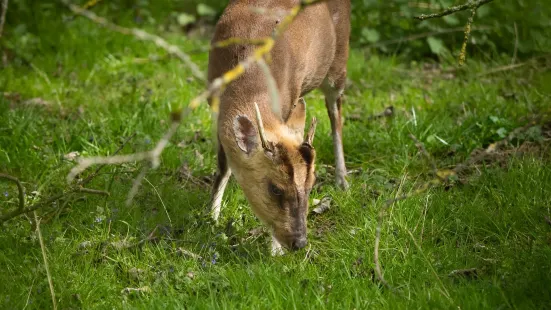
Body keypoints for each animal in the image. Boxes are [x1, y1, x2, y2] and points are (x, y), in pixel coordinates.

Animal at [207, 0, 350, 256]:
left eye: (312, 184)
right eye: (275, 189)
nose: (299, 242)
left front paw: (274, 251)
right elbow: (223, 166)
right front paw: (211, 218)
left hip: (339, 58)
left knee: (336, 111)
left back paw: (342, 181)